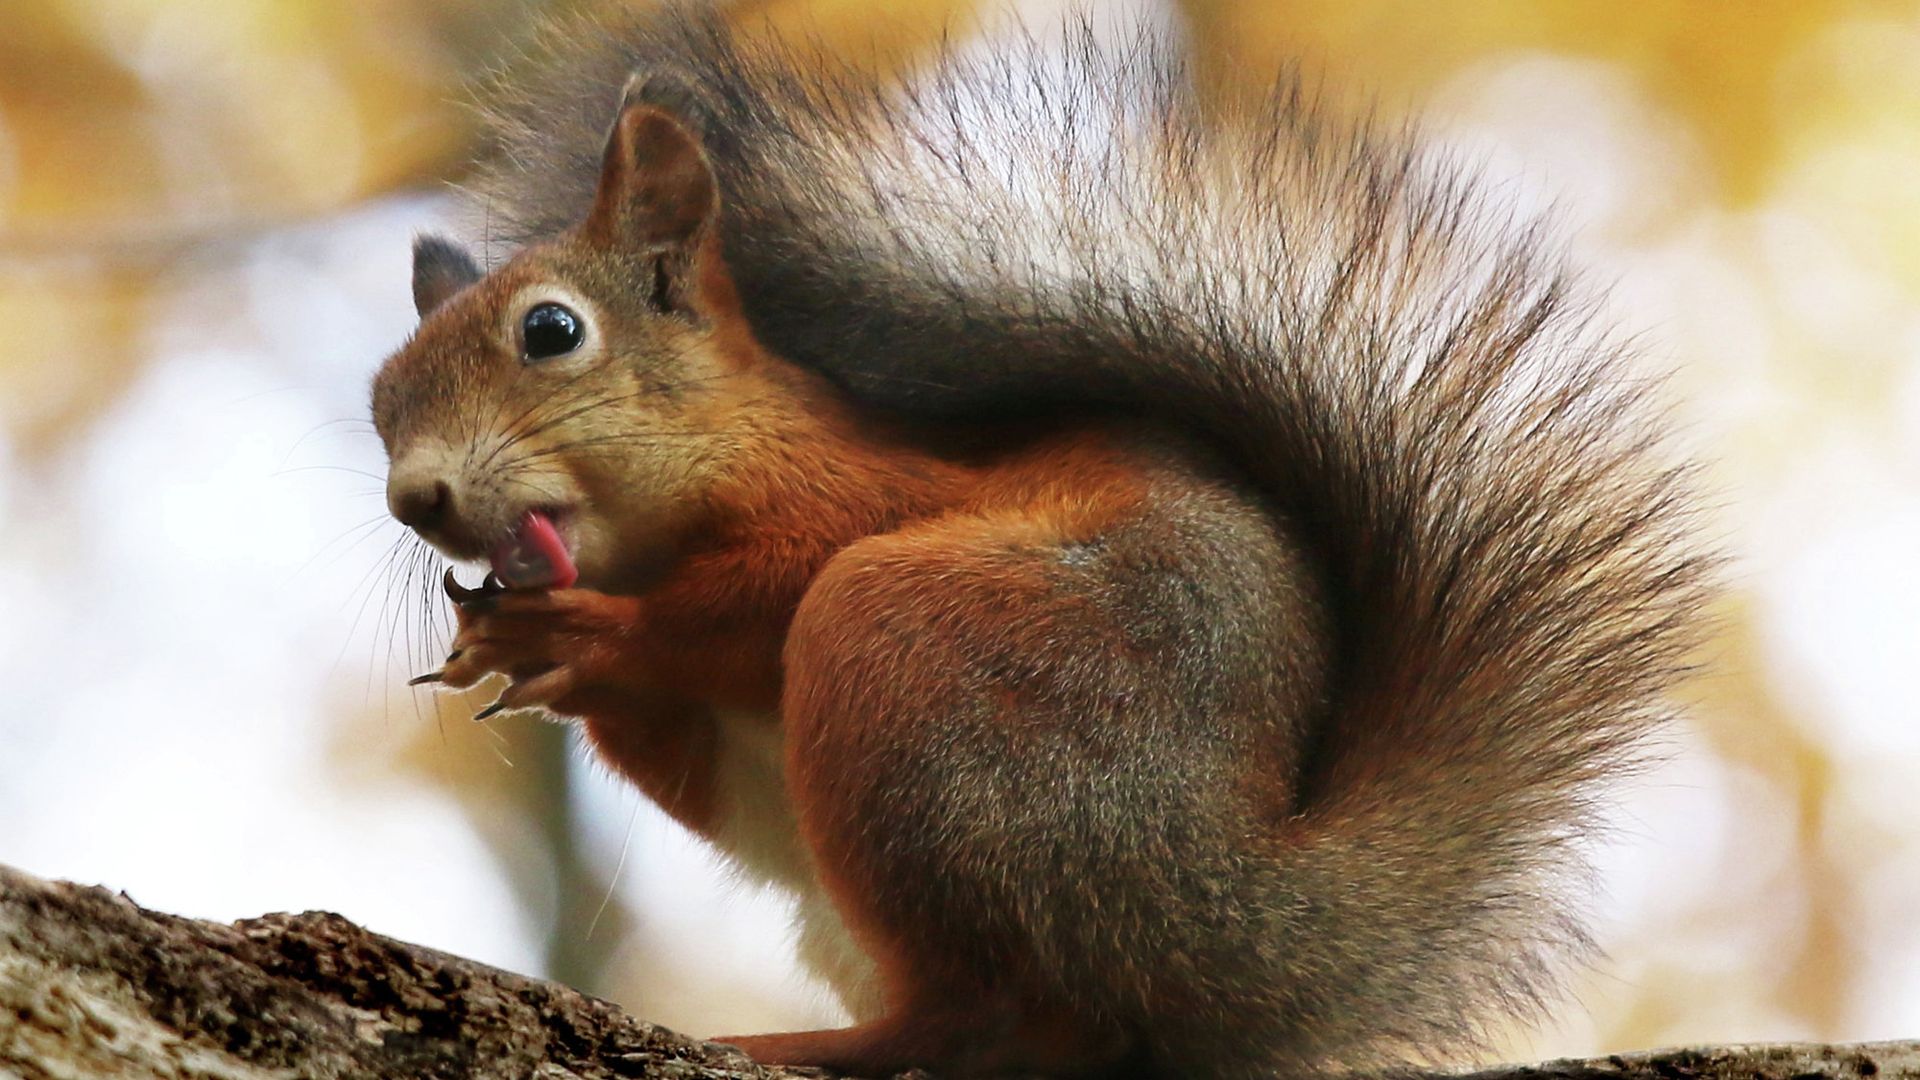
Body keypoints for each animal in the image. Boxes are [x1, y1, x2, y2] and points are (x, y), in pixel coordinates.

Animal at [369, 5, 1711, 1077]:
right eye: (382, 398)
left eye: (552, 332)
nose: (415, 497)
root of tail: (1237, 924)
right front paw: (520, 647)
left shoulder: (854, 496)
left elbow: (751, 595)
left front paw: (601, 629)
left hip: (918, 652)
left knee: (979, 1018)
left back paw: (803, 1043)